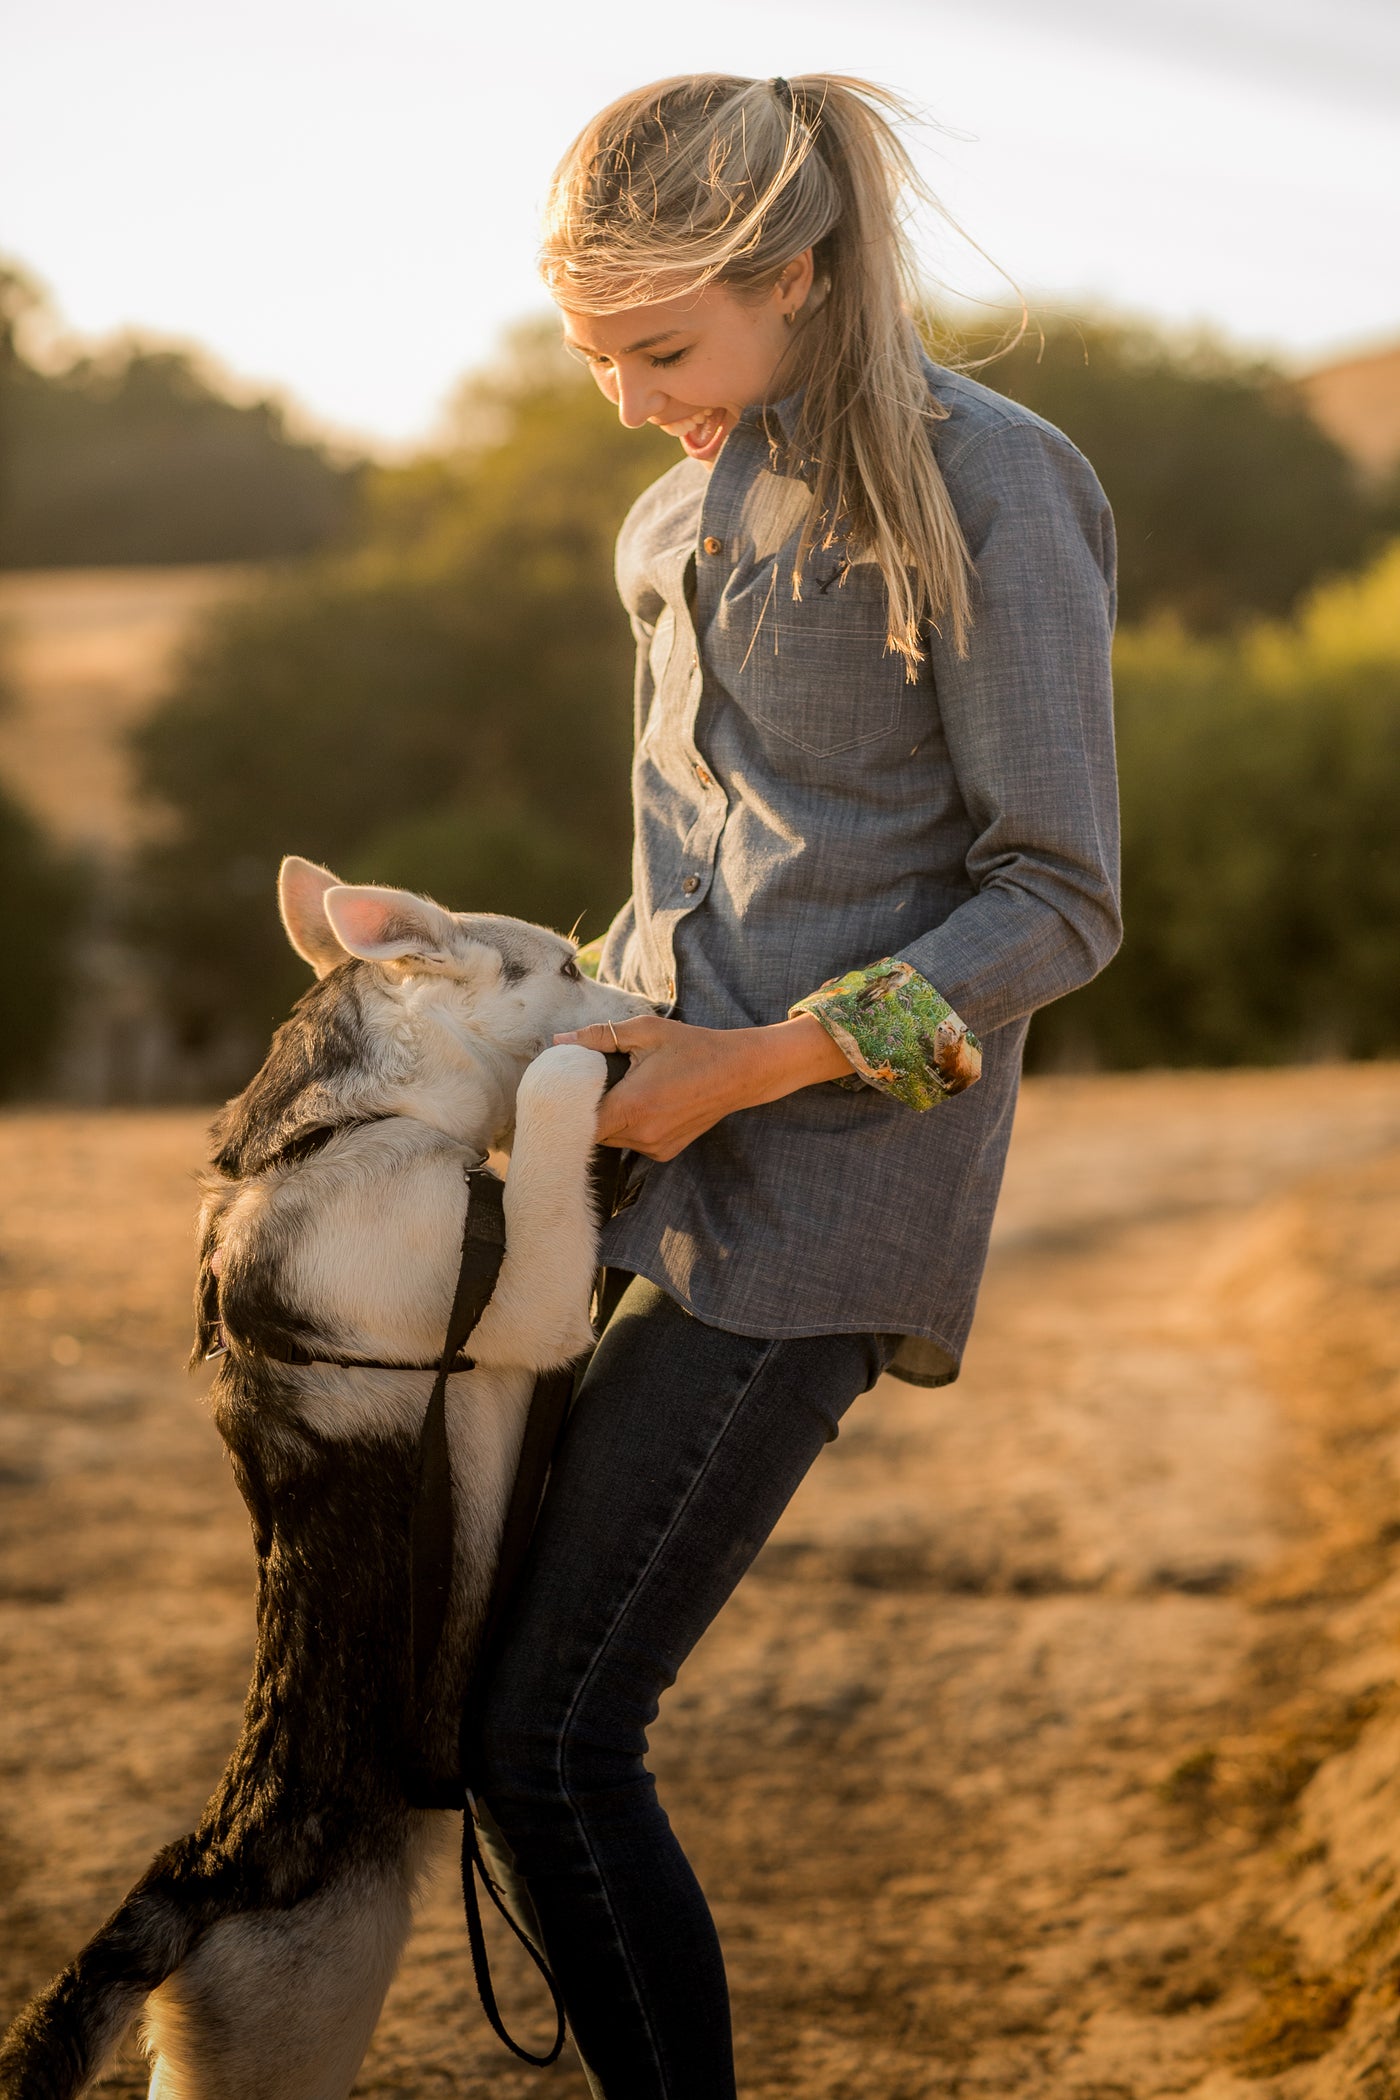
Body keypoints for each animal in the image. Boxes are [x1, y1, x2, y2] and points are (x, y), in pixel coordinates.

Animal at [0, 856, 659, 2100]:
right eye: (565, 966)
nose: (655, 1012)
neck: (344, 1128)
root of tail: (210, 1874)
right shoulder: (533, 1299)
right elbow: (551, 1109)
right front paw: (578, 1063)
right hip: (286, 2048)